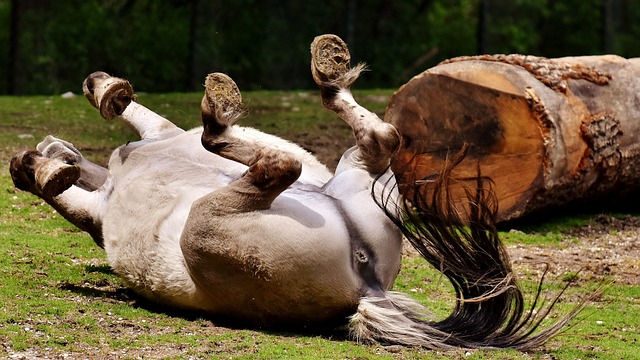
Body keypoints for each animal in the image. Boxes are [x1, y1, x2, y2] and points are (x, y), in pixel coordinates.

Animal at [8, 33, 584, 348]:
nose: (34, 152)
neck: (119, 173)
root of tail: (366, 290)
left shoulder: (156, 134)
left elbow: (123, 116)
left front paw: (95, 100)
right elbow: (68, 188)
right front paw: (50, 164)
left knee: (274, 160)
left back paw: (236, 101)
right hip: (340, 180)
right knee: (362, 142)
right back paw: (305, 78)